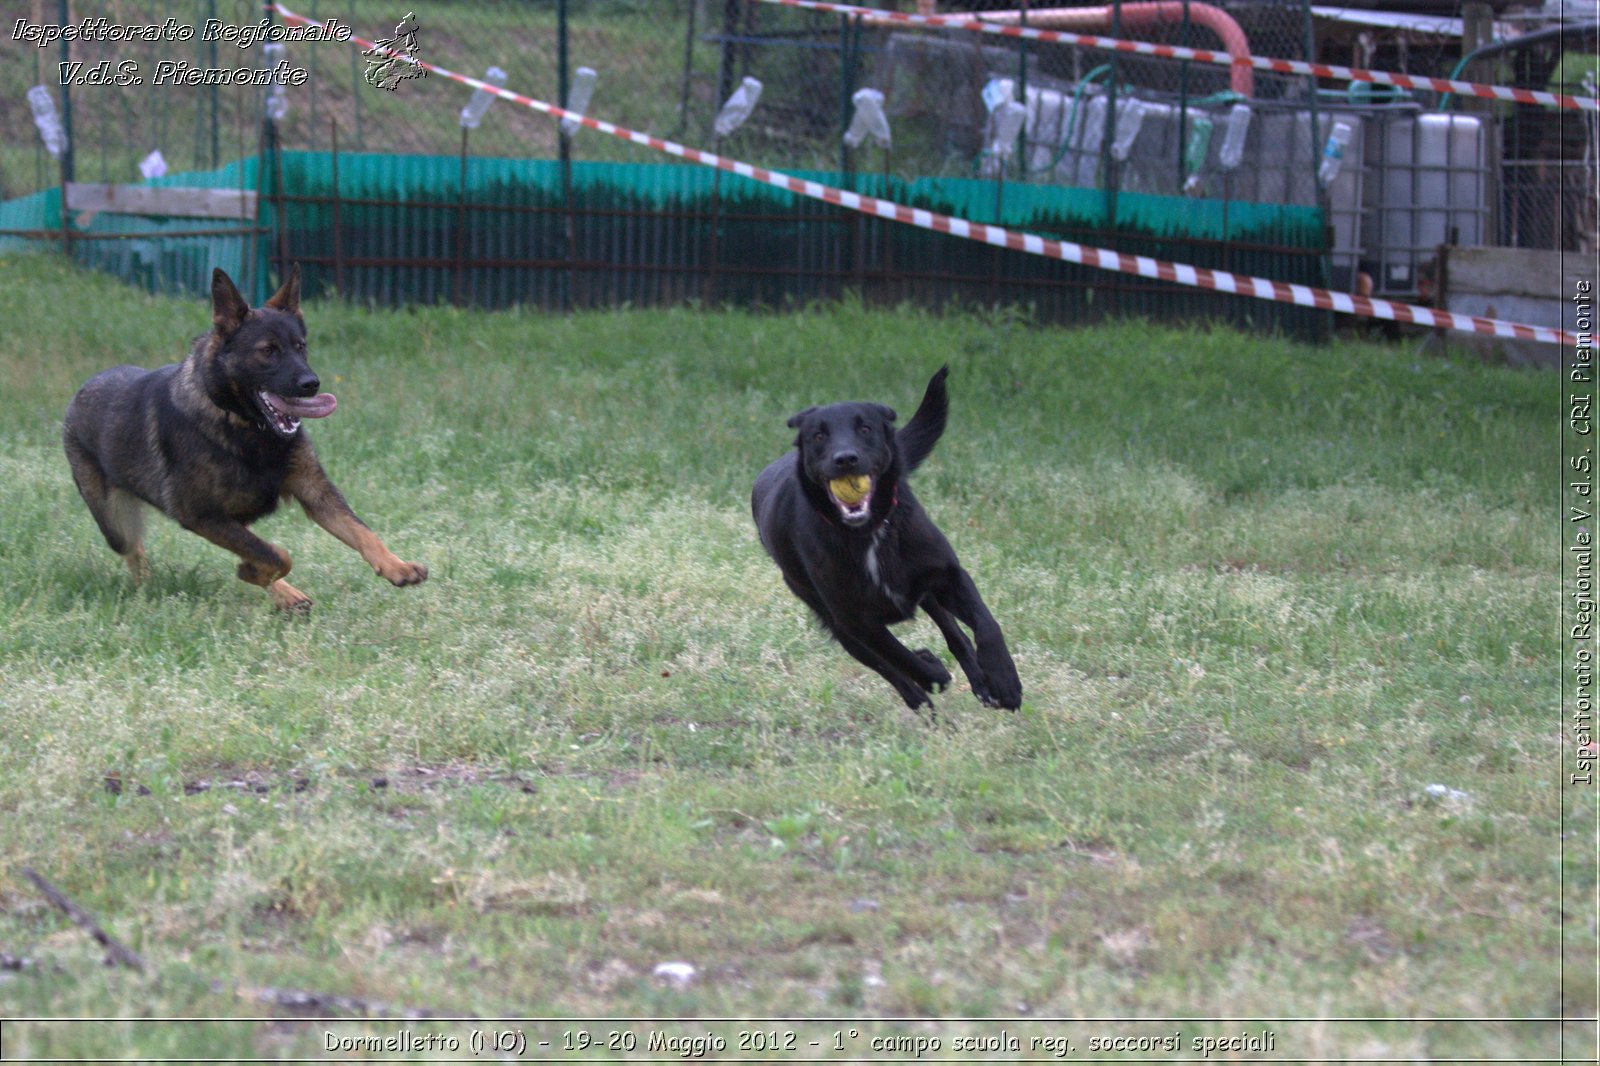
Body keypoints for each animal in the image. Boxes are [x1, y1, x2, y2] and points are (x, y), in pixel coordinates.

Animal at [62, 265, 428, 611]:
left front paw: (396, 566)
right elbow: (278, 555)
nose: (312, 384)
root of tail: (80, 392)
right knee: (134, 550)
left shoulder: (314, 491)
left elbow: (359, 530)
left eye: (301, 347)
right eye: (268, 350)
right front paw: (253, 573)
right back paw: (147, 589)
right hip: (117, 526)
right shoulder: (201, 515)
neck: (244, 426)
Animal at [752, 369, 1024, 710]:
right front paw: (933, 671)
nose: (845, 459)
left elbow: (986, 625)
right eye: (819, 436)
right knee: (891, 670)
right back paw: (923, 698)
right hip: (836, 623)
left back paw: (982, 684)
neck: (868, 532)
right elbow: (901, 659)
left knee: (955, 634)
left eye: (865, 428)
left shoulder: (948, 575)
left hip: (926, 592)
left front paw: (1004, 680)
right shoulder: (857, 623)